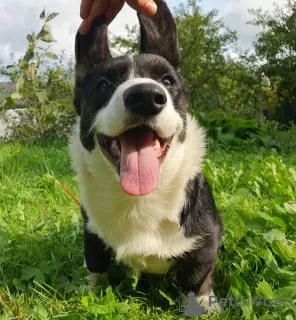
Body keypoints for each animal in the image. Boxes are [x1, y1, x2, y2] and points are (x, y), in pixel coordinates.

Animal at [70, 0, 222, 316]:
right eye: (105, 85)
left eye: (166, 81)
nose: (146, 97)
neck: (139, 199)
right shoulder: (91, 233)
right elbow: (95, 262)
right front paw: (91, 287)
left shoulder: (207, 237)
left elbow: (197, 275)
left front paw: (204, 303)